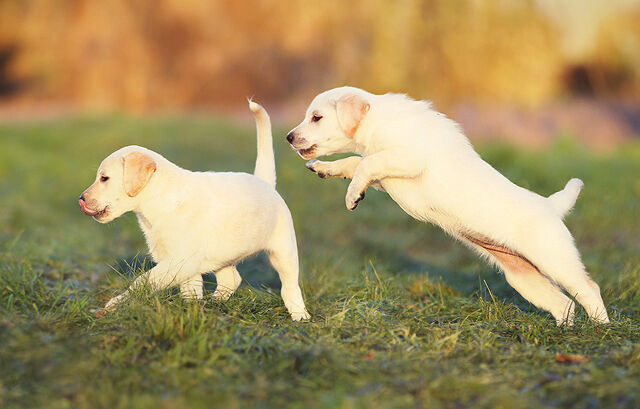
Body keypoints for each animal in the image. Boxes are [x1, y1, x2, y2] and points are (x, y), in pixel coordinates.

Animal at [79, 101, 310, 321]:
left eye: (104, 178)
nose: (81, 198)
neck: (160, 199)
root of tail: (264, 182)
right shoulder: (184, 265)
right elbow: (190, 291)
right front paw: (192, 309)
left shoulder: (180, 261)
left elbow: (141, 281)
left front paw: (115, 304)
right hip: (224, 255)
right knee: (232, 279)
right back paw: (214, 302)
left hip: (283, 251)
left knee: (290, 286)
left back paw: (300, 315)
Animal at [287, 86, 608, 325]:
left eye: (316, 117)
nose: (288, 137)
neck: (381, 122)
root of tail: (551, 206)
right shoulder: (384, 176)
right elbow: (355, 162)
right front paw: (326, 170)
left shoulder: (408, 158)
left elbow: (366, 163)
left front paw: (351, 195)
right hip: (524, 279)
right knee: (563, 304)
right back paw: (565, 331)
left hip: (556, 261)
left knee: (589, 289)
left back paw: (600, 329)